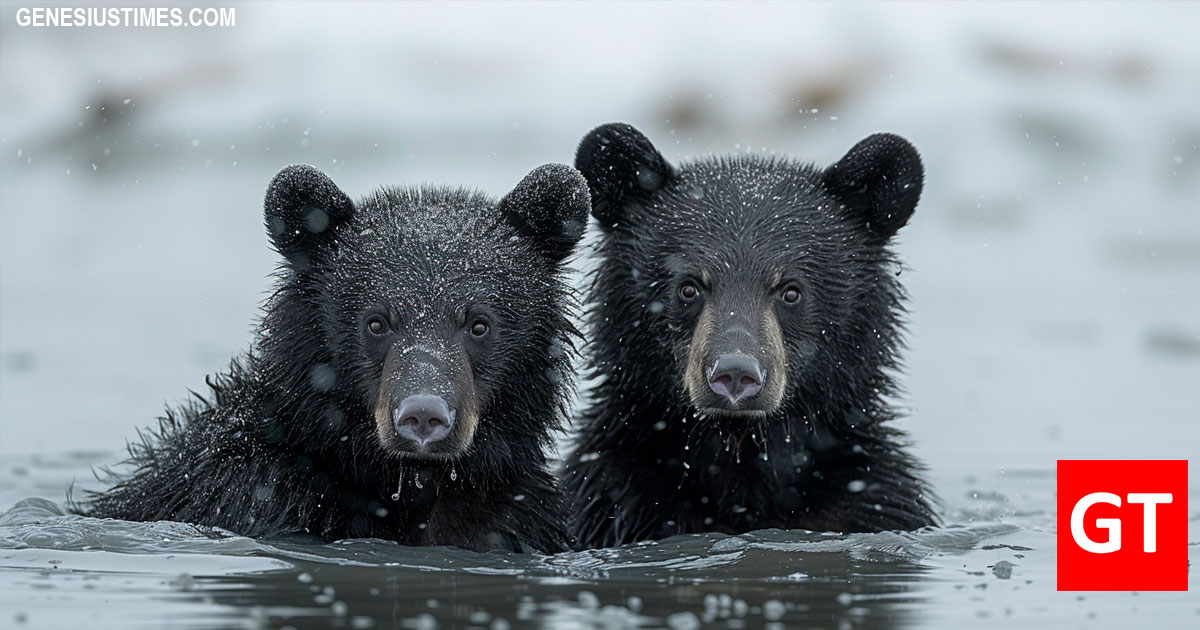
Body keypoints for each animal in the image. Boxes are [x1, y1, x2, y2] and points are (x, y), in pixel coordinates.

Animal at [81, 162, 591, 554]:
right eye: (377, 322)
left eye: (479, 324)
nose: (423, 417)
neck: (403, 482)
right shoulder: (255, 495)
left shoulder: (515, 517)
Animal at [563, 122, 937, 549]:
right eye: (689, 287)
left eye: (790, 290)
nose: (736, 374)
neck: (741, 455)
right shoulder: (618, 499)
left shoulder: (867, 500)